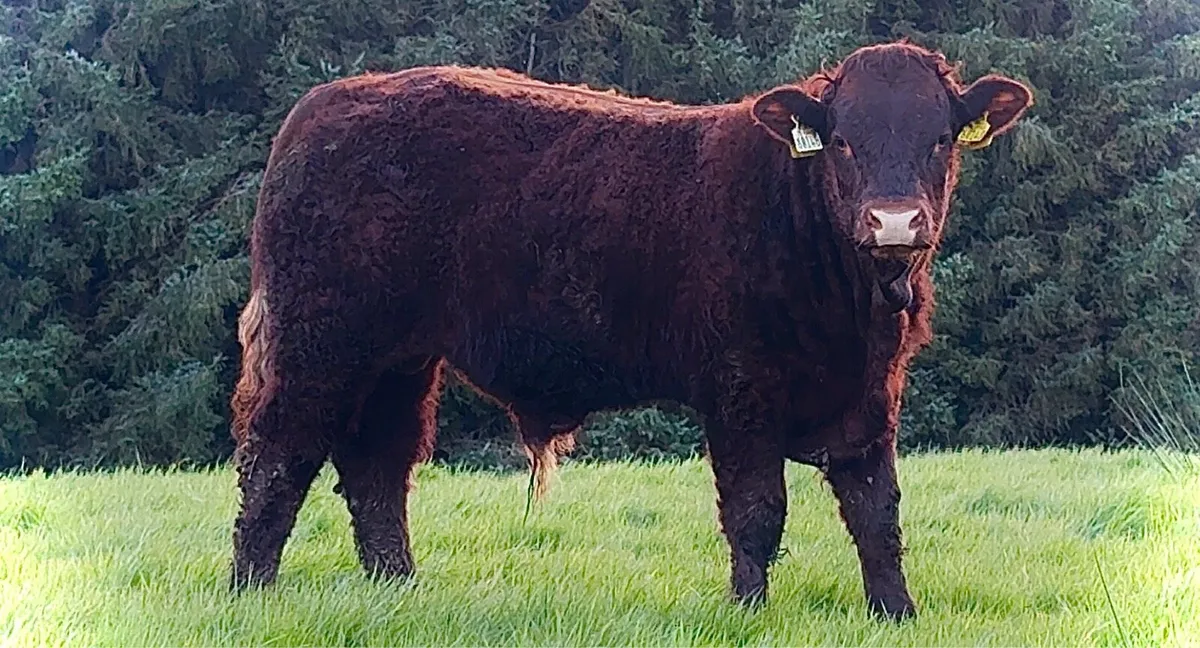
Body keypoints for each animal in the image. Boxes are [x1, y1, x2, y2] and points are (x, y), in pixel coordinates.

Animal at [227, 39, 1032, 621]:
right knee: (278, 459)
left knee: (378, 466)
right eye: (843, 142)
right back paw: (251, 592)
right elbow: (756, 511)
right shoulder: (740, 392)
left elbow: (877, 513)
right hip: (318, 343)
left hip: (399, 359)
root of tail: (330, 100)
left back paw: (398, 589)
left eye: (940, 138)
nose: (894, 222)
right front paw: (748, 613)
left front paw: (897, 612)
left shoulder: (871, 396)